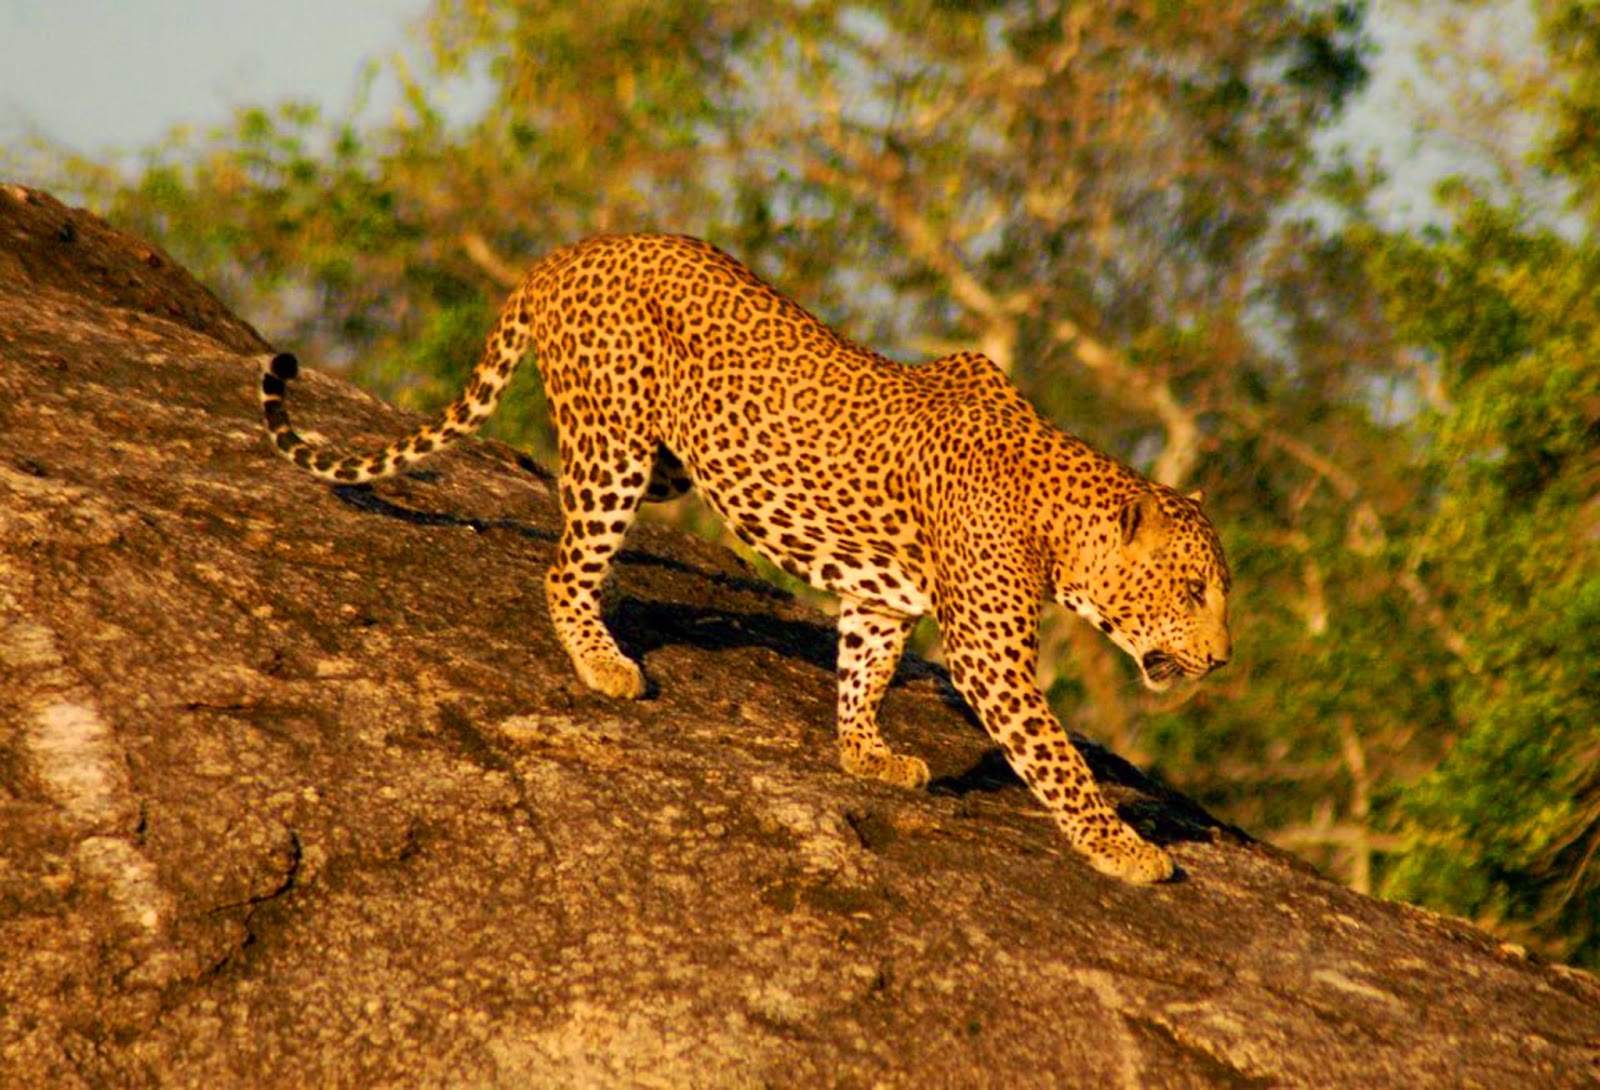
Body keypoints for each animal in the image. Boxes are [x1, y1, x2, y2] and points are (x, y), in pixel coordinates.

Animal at [260, 232, 1232, 883]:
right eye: (1192, 591)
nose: (1222, 660)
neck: (1059, 518)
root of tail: (573, 248)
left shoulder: (882, 601)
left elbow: (863, 671)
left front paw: (865, 755)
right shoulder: (990, 654)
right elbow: (1058, 760)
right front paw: (1125, 848)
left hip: (665, 461)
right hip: (615, 445)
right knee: (565, 567)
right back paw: (604, 664)